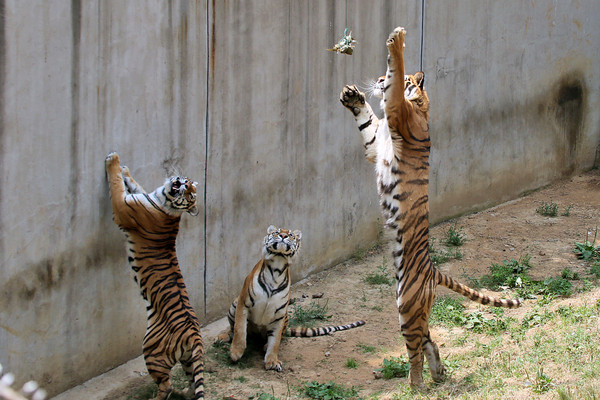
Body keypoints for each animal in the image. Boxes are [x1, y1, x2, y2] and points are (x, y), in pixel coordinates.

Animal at [104, 152, 205, 398]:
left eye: (189, 194)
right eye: (188, 184)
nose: (182, 183)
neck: (163, 201)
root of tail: (195, 335)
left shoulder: (122, 209)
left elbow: (115, 185)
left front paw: (114, 160)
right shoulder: (143, 194)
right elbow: (134, 183)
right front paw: (126, 170)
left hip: (151, 351)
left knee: (165, 385)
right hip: (188, 360)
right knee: (192, 381)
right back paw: (185, 392)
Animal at [216, 227, 366, 370]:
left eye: (291, 235)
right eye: (276, 232)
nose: (283, 236)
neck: (277, 267)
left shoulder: (279, 315)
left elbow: (275, 341)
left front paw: (272, 361)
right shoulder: (244, 303)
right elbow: (239, 330)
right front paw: (235, 353)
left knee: (276, 337)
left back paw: (265, 346)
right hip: (235, 303)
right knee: (232, 328)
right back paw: (223, 337)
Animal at [340, 27, 524, 388]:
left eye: (387, 76)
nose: (377, 78)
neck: (421, 105)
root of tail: (434, 270)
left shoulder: (396, 110)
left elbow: (395, 80)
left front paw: (396, 42)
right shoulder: (376, 142)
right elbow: (368, 122)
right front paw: (353, 97)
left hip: (406, 305)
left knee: (416, 351)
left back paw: (415, 385)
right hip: (414, 309)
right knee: (430, 340)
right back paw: (437, 374)